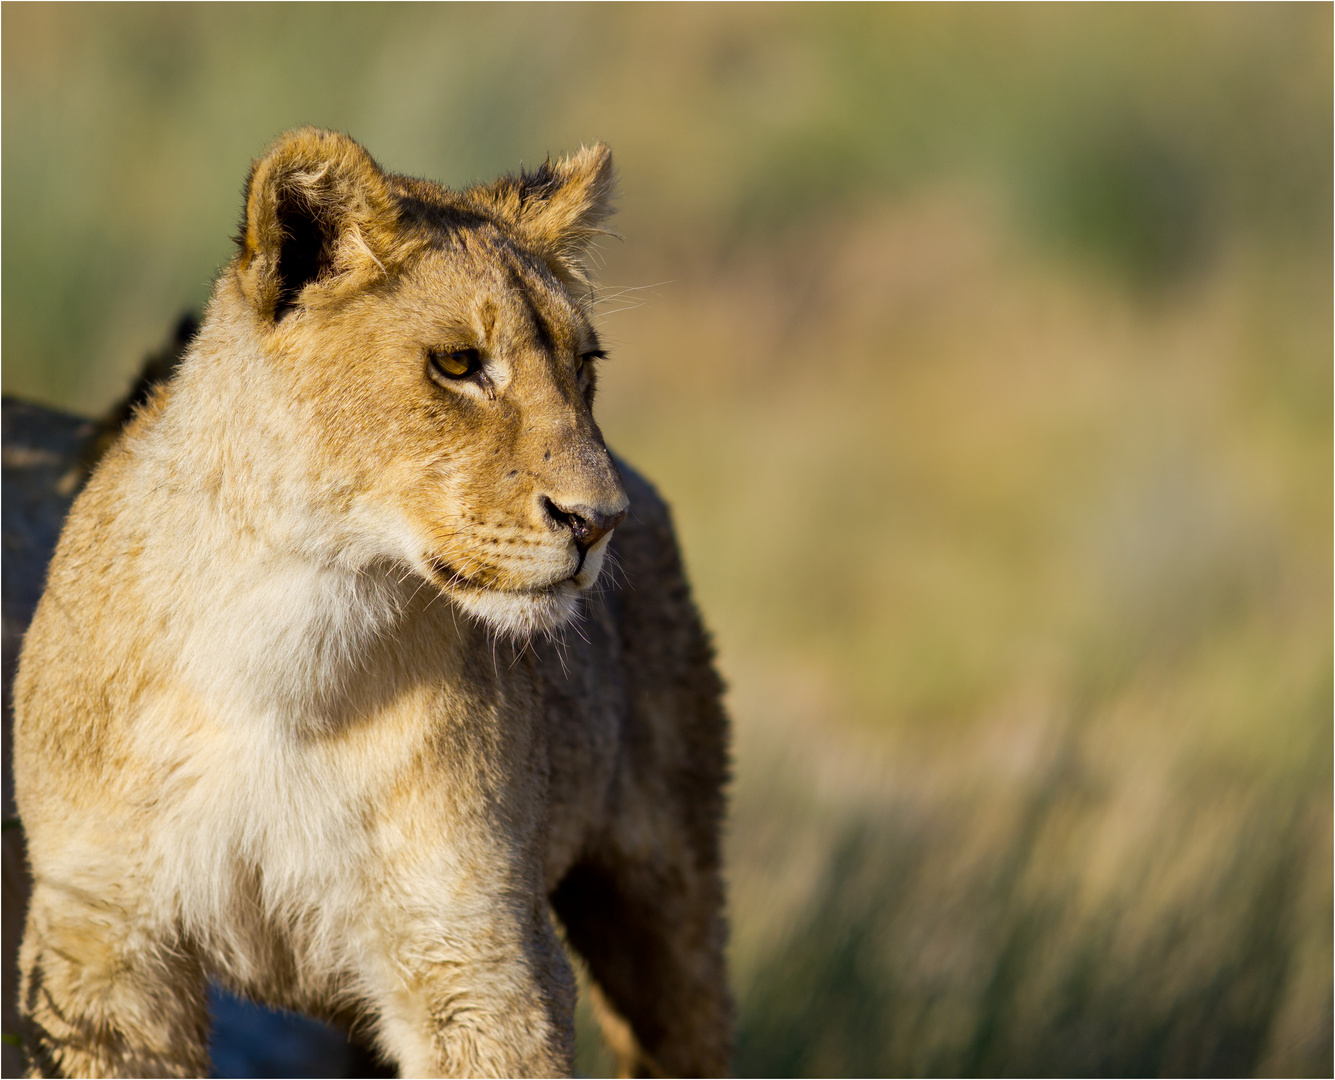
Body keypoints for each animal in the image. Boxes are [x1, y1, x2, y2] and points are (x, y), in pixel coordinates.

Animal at [13, 128, 731, 1078]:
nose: (597, 522)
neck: (287, 632)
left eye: (584, 367)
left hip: (667, 898)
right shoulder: (102, 936)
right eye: (459, 364)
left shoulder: (478, 953)